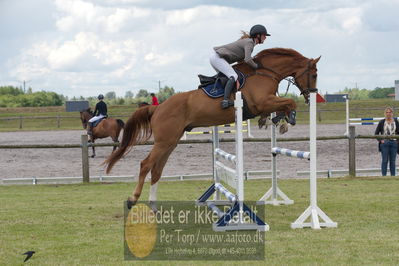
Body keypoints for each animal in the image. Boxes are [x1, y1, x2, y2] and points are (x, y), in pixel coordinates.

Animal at [104, 47, 320, 208]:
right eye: (314, 74)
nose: (312, 95)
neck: (264, 72)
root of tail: (158, 107)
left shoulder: (267, 103)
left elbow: (282, 106)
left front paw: (274, 121)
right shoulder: (262, 102)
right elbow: (290, 102)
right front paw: (286, 121)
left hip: (170, 142)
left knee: (157, 169)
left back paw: (153, 205)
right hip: (164, 141)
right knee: (146, 164)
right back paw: (133, 199)